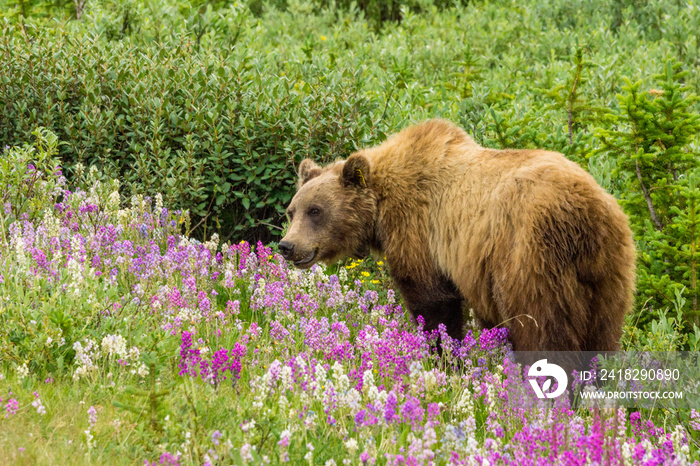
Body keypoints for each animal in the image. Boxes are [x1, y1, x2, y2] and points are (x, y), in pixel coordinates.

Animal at [278, 118, 636, 352]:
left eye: (316, 210)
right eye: (292, 210)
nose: (287, 245)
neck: (381, 208)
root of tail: (585, 215)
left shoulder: (419, 231)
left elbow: (433, 303)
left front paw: (444, 355)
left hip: (530, 259)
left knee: (543, 332)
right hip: (608, 277)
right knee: (603, 337)